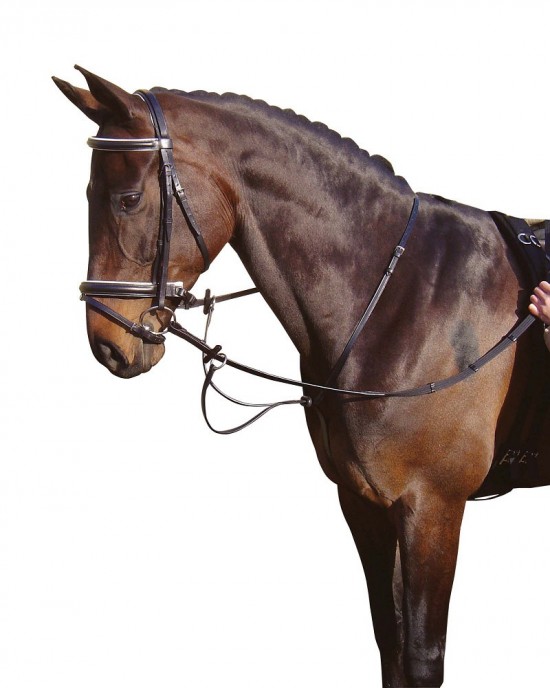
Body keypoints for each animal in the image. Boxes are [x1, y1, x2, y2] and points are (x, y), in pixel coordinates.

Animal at [53, 66, 549, 687]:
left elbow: (420, 658)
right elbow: (390, 644)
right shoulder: (364, 503)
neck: (401, 294)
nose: (107, 343)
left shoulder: (433, 506)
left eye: (128, 200)